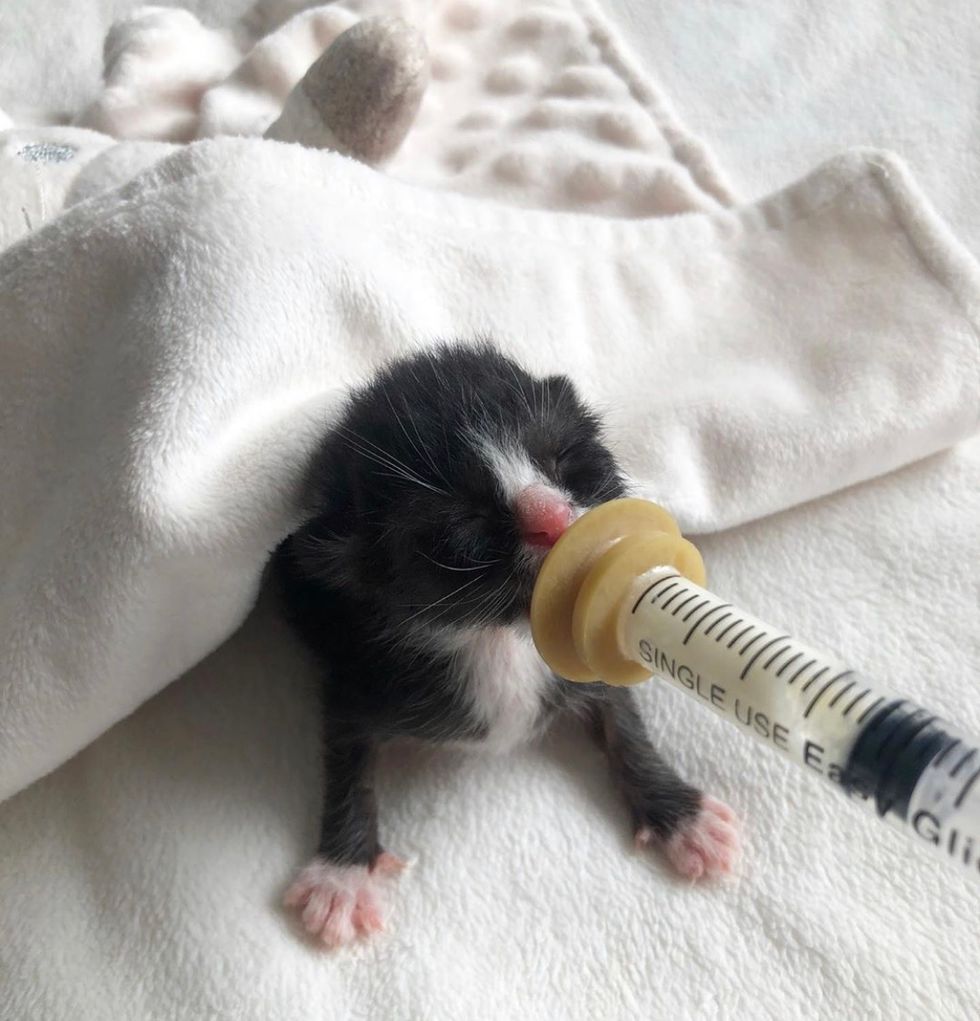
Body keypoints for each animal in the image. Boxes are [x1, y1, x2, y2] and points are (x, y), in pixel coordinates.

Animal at [273, 343, 735, 947]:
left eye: (563, 461)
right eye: (465, 525)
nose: (555, 518)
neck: (499, 638)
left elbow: (624, 724)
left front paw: (681, 816)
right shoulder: (359, 673)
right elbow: (347, 758)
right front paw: (342, 875)